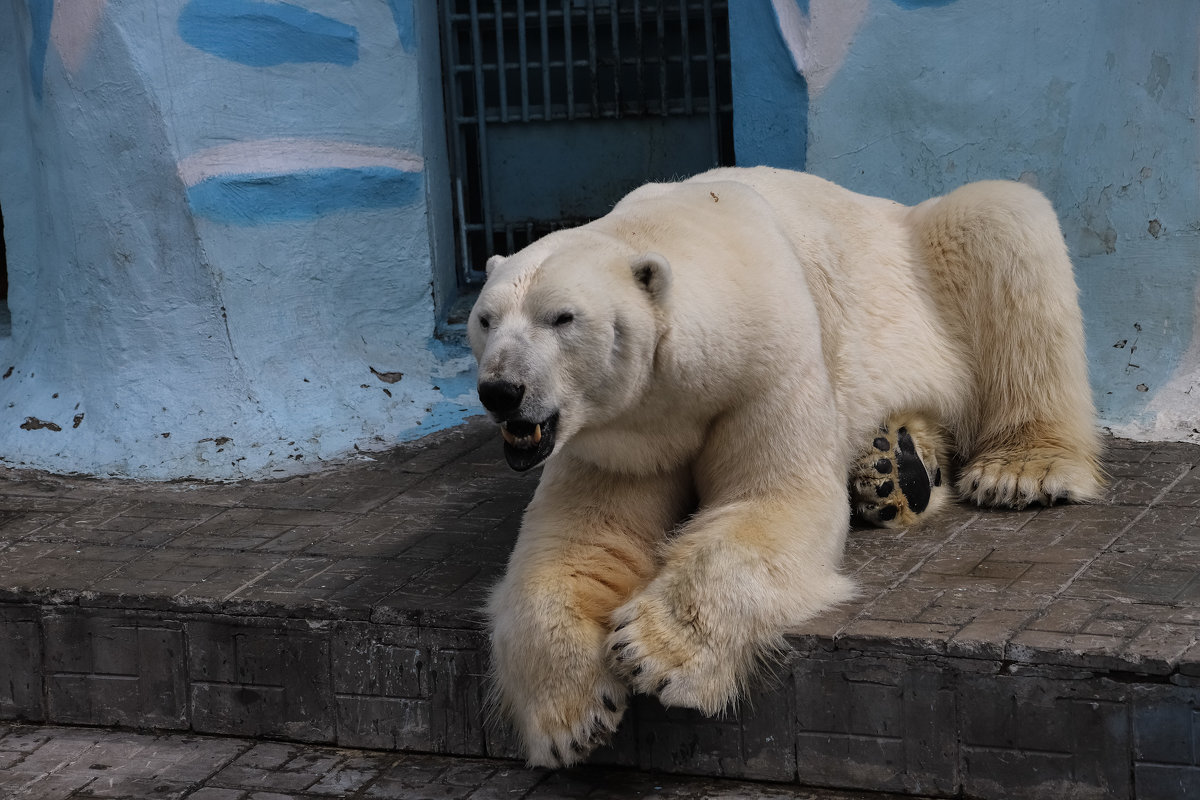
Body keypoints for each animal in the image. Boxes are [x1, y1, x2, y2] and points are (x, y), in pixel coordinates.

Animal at [465, 165, 1099, 767]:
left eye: (562, 317)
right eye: (485, 319)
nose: (501, 390)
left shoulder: (763, 364)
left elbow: (773, 501)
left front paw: (652, 651)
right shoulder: (618, 436)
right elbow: (584, 542)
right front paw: (572, 715)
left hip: (919, 258)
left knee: (1001, 226)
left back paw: (1018, 470)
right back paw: (896, 469)